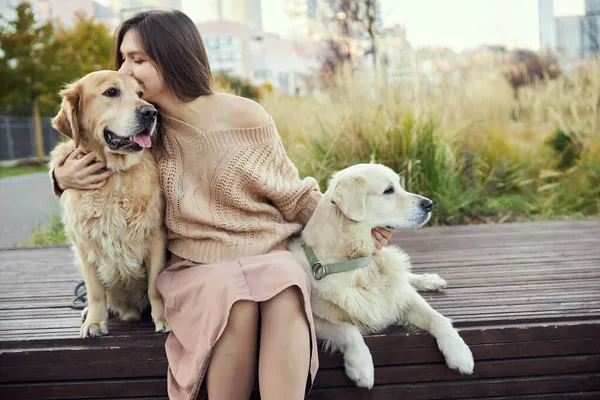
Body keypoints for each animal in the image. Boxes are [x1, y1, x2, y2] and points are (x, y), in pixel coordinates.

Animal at [49, 69, 170, 338]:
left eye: (140, 93)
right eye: (111, 92)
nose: (151, 112)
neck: (115, 175)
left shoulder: (155, 236)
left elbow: (155, 286)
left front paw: (164, 318)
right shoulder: (84, 244)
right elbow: (94, 291)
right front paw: (95, 321)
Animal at [290, 162, 474, 388]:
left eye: (399, 185)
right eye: (388, 190)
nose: (429, 203)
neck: (359, 266)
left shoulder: (402, 297)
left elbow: (437, 318)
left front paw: (460, 353)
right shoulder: (314, 320)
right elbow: (348, 330)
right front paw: (361, 367)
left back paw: (431, 280)